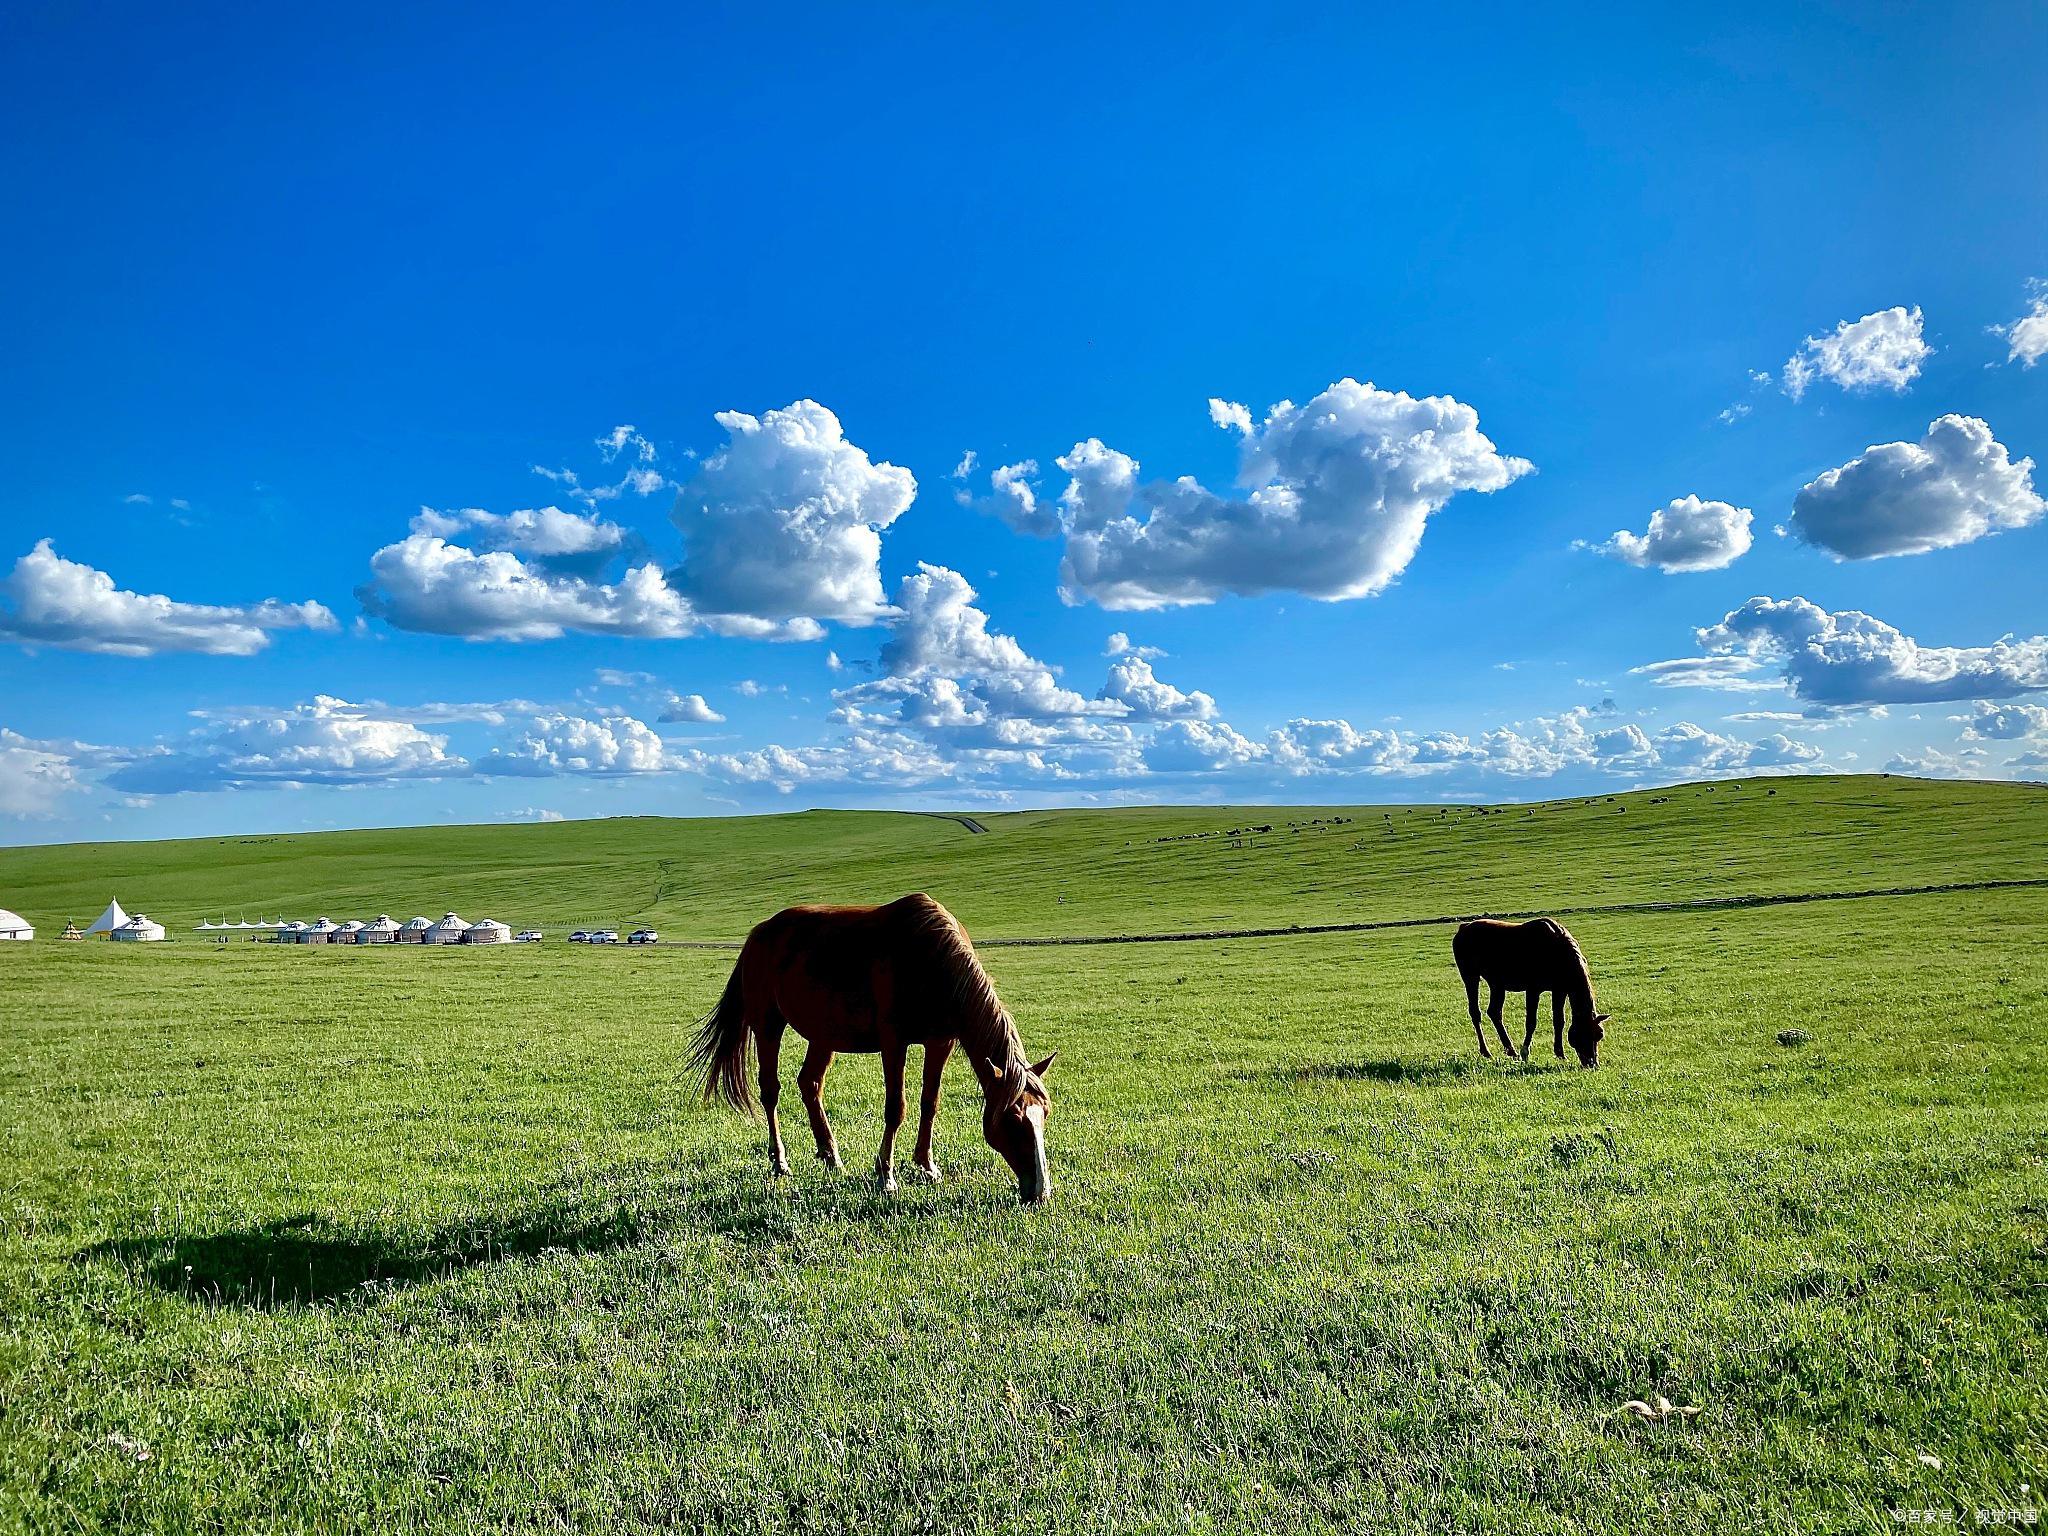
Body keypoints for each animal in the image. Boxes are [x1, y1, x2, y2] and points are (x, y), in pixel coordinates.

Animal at [696, 897, 1064, 1212]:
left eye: (1044, 1114)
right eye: (1012, 1119)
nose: (1041, 1192)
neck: (933, 961)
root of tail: (758, 934)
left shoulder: (941, 1042)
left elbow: (929, 1103)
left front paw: (927, 1165)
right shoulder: (893, 1043)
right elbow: (895, 1108)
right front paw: (886, 1175)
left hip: (823, 1034)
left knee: (809, 1084)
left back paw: (830, 1154)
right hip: (768, 1024)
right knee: (770, 1090)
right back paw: (780, 1161)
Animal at [1449, 921, 1605, 1064]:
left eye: (1599, 1035)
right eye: (1582, 1035)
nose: (1592, 1063)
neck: (1558, 952)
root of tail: (1464, 927)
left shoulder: (1559, 990)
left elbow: (1559, 1021)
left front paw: (1560, 1053)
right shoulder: (1533, 990)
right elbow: (1531, 1022)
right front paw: (1525, 1052)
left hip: (1496, 984)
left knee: (1494, 1012)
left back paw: (1511, 1050)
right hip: (1470, 976)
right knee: (1476, 1013)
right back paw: (1486, 1051)